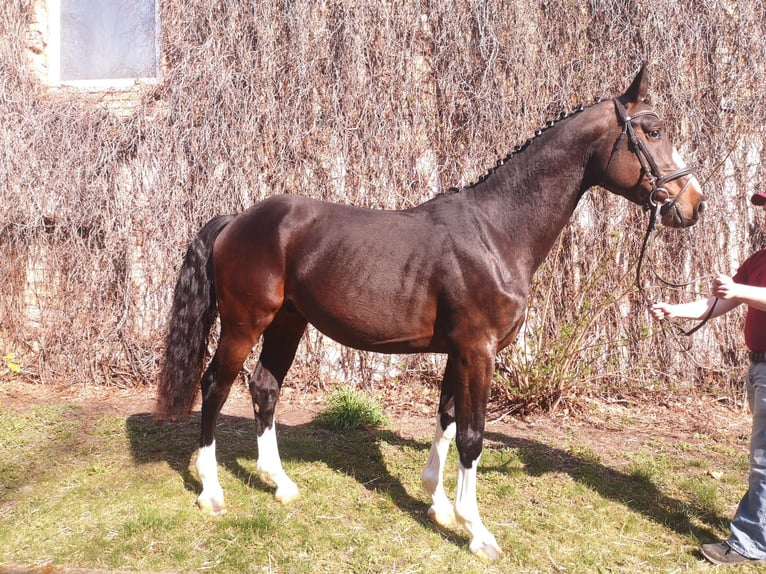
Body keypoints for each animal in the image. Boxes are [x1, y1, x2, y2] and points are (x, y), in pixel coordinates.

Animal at [156, 65, 708, 560]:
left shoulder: (458, 351)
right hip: (245, 324)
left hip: (288, 323)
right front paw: (478, 532)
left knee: (265, 387)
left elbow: (445, 420)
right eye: (653, 131)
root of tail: (236, 220)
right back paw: (211, 493)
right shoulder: (478, 351)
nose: (694, 205)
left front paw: (440, 506)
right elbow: (471, 435)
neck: (496, 233)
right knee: (215, 387)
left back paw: (280, 483)